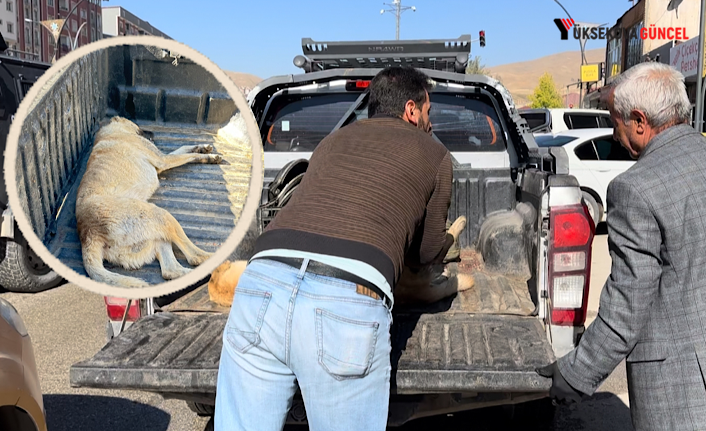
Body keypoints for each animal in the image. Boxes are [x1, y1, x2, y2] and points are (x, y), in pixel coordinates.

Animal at [76, 116, 245, 288]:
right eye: (139, 127)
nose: (153, 133)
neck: (110, 133)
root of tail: (88, 233)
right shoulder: (164, 160)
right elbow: (188, 155)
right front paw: (208, 157)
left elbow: (183, 147)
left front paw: (202, 148)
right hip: (160, 215)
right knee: (194, 257)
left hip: (156, 235)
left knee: (171, 271)